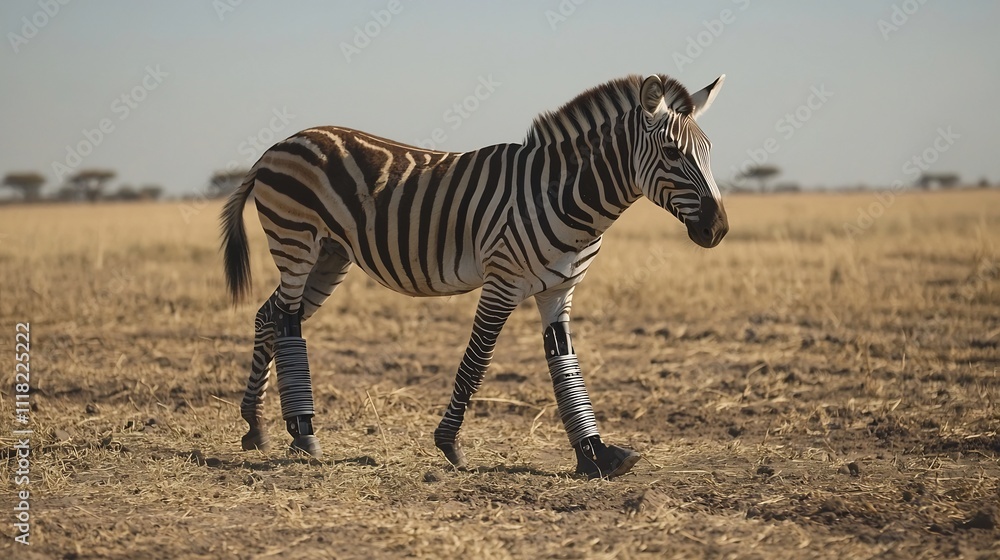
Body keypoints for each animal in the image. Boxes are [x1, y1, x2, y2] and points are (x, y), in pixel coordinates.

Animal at [220, 73, 728, 479]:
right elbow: (477, 360)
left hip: (329, 256)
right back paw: (303, 434)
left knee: (269, 316)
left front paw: (595, 452)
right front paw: (449, 443)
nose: (718, 229)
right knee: (286, 320)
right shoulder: (502, 280)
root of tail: (278, 146)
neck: (564, 196)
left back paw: (257, 426)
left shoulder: (560, 290)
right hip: (296, 240)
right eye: (671, 152)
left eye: (709, 152)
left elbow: (565, 364)